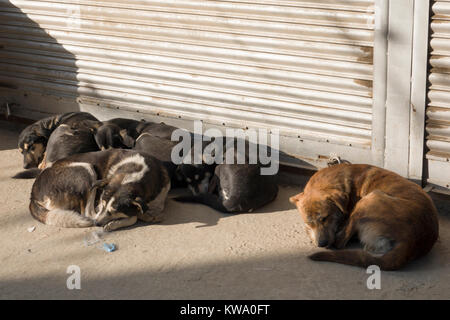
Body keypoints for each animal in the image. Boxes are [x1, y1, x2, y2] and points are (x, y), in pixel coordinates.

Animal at [29, 149, 171, 231]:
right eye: (103, 205)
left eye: (113, 211)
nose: (97, 224)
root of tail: (33, 195)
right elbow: (134, 216)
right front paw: (116, 223)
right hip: (86, 169)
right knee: (88, 213)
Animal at [288, 162, 440, 270]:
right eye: (309, 223)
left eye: (325, 218)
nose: (322, 244)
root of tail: (410, 241)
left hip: (369, 199)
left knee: (340, 242)